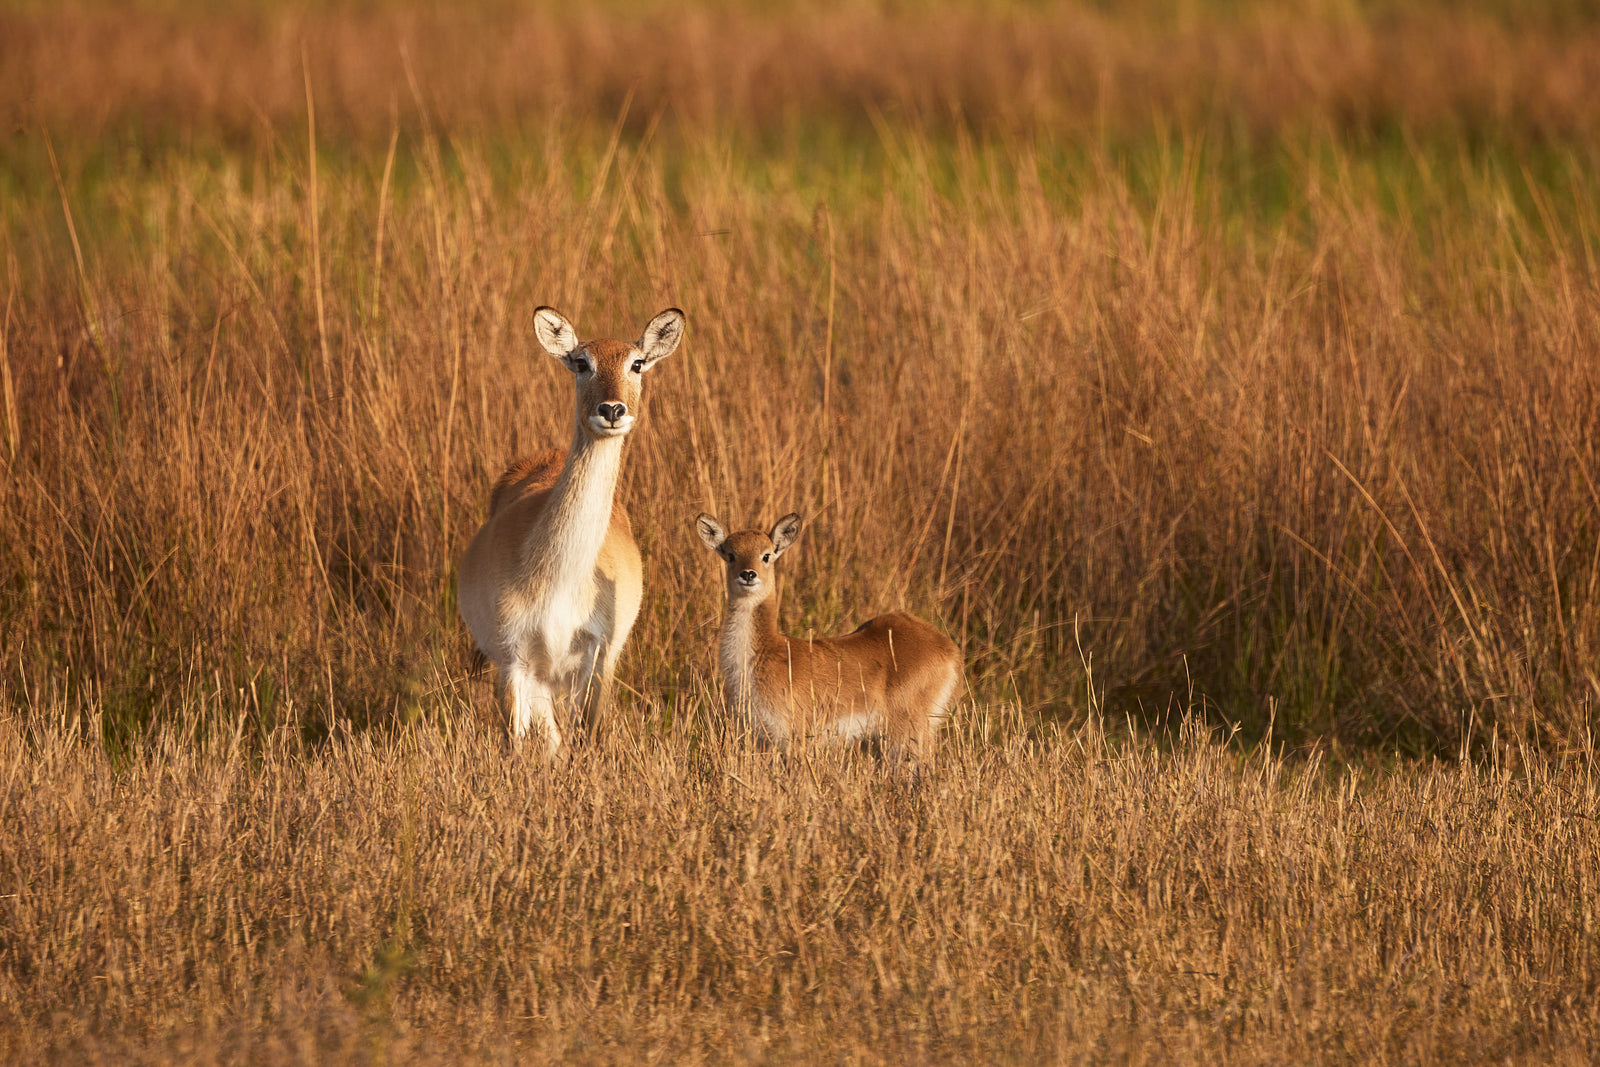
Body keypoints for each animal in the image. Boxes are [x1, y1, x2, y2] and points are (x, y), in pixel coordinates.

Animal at [458, 305, 685, 753]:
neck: (559, 581)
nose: (612, 410)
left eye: (637, 363)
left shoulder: (600, 660)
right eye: (582, 362)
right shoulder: (514, 662)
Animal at [695, 512, 963, 764]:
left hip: (906, 733)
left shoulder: (794, 739)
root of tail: (949, 649)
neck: (764, 656)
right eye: (730, 554)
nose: (748, 574)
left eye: (766, 555)